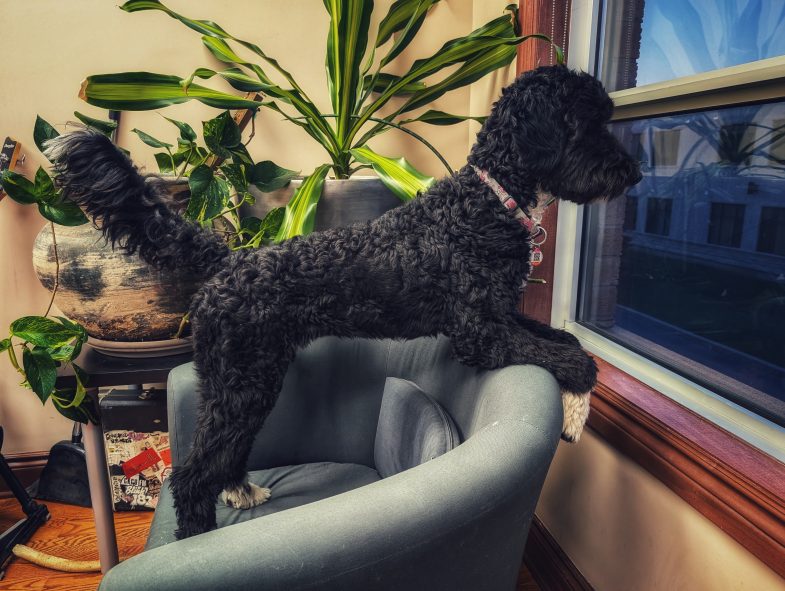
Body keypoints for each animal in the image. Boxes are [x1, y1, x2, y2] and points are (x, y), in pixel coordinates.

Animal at [46, 65, 641, 539]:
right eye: (584, 122)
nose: (633, 172)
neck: (485, 202)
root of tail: (231, 260)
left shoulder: (501, 316)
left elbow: (564, 339)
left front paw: (573, 408)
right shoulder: (482, 334)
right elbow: (575, 358)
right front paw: (576, 414)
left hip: (242, 379)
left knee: (222, 452)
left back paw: (240, 492)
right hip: (245, 380)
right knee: (192, 475)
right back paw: (197, 540)